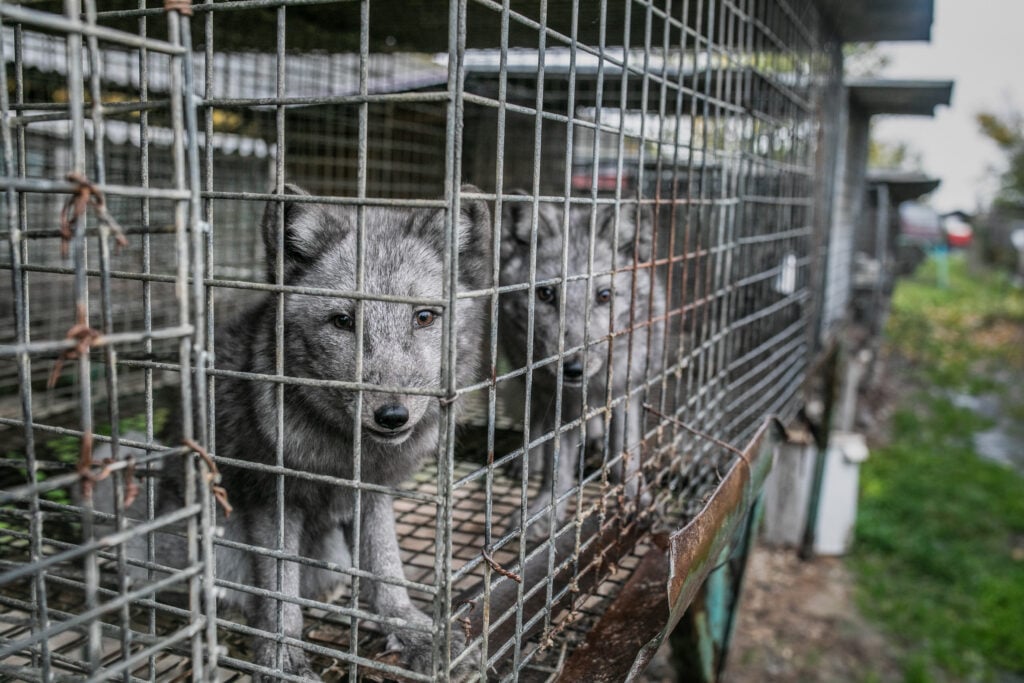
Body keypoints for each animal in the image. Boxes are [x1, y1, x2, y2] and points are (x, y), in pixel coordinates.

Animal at [148, 184, 491, 679]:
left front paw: (412, 629)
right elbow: (280, 584)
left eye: (425, 317)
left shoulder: (374, 493)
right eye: (343, 321)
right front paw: (281, 653)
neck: (345, 455)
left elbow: (387, 568)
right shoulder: (272, 497)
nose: (391, 415)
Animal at [497, 196, 663, 540]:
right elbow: (557, 469)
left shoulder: (625, 392)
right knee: (536, 424)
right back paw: (527, 462)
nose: (572, 368)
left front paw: (636, 497)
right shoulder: (561, 404)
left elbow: (626, 457)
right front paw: (545, 511)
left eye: (604, 295)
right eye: (545, 293)